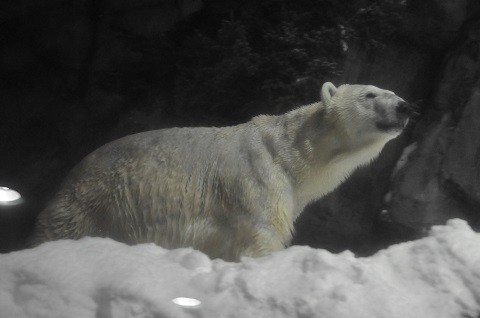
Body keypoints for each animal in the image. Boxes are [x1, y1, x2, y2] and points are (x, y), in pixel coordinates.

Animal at [30, 82, 412, 260]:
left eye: (392, 90)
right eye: (369, 94)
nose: (405, 106)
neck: (289, 156)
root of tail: (68, 177)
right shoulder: (257, 182)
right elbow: (262, 237)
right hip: (90, 203)